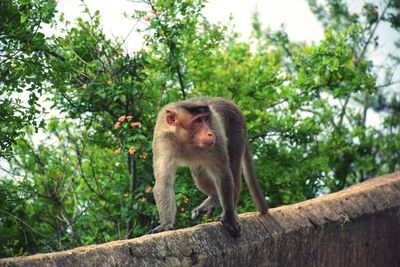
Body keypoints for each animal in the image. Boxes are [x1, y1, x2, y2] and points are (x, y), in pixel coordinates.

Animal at [146, 98, 266, 239]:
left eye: (206, 119)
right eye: (198, 120)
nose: (209, 133)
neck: (186, 140)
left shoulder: (216, 136)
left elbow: (223, 174)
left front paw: (229, 218)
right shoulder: (163, 140)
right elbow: (164, 181)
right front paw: (165, 225)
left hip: (237, 127)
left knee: (233, 170)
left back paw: (231, 210)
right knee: (199, 172)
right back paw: (213, 197)